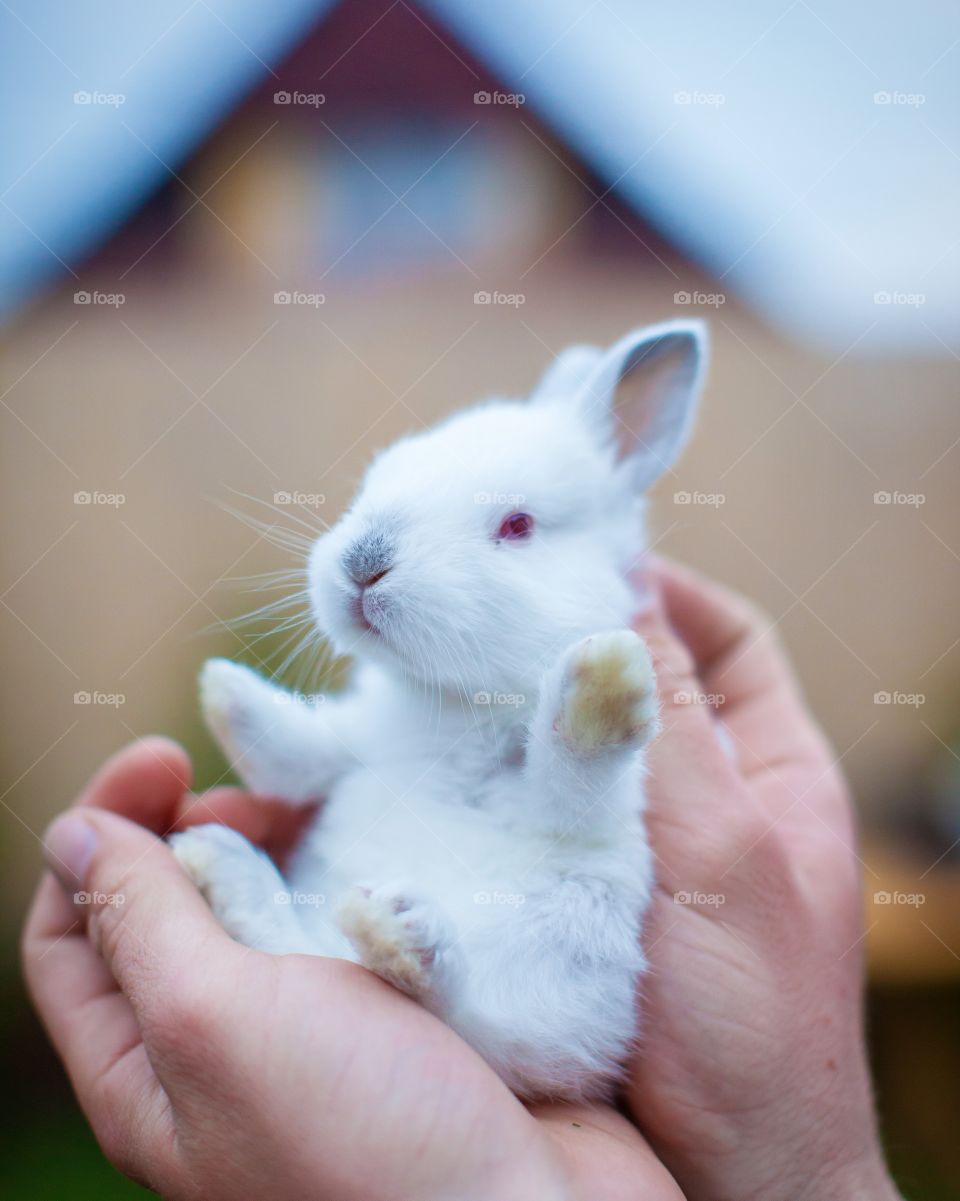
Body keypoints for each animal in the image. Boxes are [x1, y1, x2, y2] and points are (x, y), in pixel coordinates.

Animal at [170, 319, 708, 1101]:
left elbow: (570, 772)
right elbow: (300, 754)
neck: (450, 705)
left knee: (452, 1007)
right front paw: (224, 691)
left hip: (546, 987)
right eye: (379, 477)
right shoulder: (359, 739)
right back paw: (223, 865)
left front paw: (603, 678)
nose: (364, 562)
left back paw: (397, 929)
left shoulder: (576, 816)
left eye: (518, 525)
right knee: (308, 953)